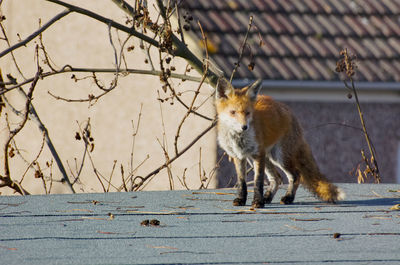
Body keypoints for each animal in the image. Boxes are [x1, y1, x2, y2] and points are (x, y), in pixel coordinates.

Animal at [216, 77, 344, 207]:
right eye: (233, 112)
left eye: (247, 113)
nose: (244, 127)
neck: (239, 139)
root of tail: (288, 110)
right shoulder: (238, 156)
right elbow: (242, 182)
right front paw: (241, 199)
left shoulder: (257, 154)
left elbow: (258, 181)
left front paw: (258, 202)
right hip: (268, 157)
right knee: (276, 178)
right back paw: (267, 197)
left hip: (279, 157)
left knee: (296, 175)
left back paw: (288, 198)